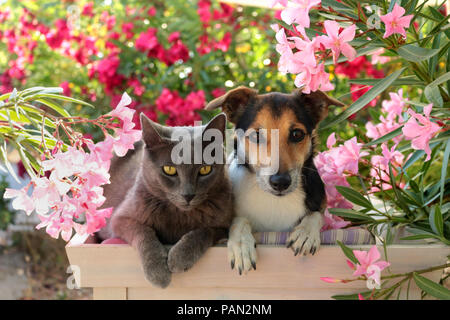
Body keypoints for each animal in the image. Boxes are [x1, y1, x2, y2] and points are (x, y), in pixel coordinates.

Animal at [100, 114, 234, 288]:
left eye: (205, 169)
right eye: (169, 170)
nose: (188, 195)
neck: (179, 215)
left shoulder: (225, 225)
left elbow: (205, 230)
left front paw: (180, 257)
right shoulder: (120, 218)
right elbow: (143, 231)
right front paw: (157, 272)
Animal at [206, 86, 342, 274]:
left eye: (297, 134)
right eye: (256, 136)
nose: (280, 182)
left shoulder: (319, 200)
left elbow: (316, 214)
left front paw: (306, 232)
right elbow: (238, 221)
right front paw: (241, 245)